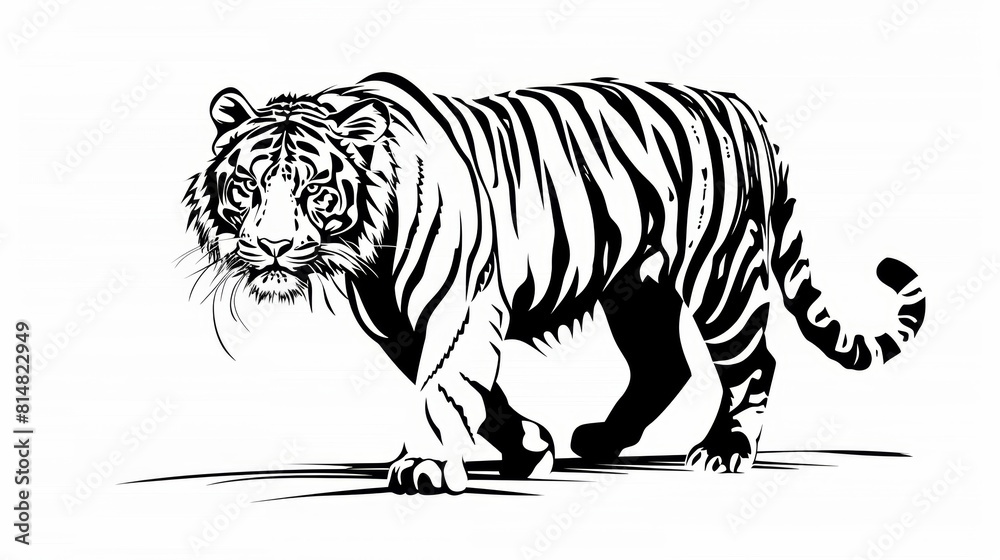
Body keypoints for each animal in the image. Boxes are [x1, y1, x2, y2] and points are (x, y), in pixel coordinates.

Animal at [183, 72, 925, 494]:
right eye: (247, 187)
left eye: (313, 190)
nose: (272, 247)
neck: (372, 242)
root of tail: (740, 108)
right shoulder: (399, 323)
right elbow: (476, 392)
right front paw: (528, 447)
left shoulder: (458, 305)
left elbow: (442, 389)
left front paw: (424, 467)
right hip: (637, 289)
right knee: (666, 364)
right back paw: (601, 440)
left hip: (720, 274)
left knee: (753, 361)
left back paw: (724, 451)